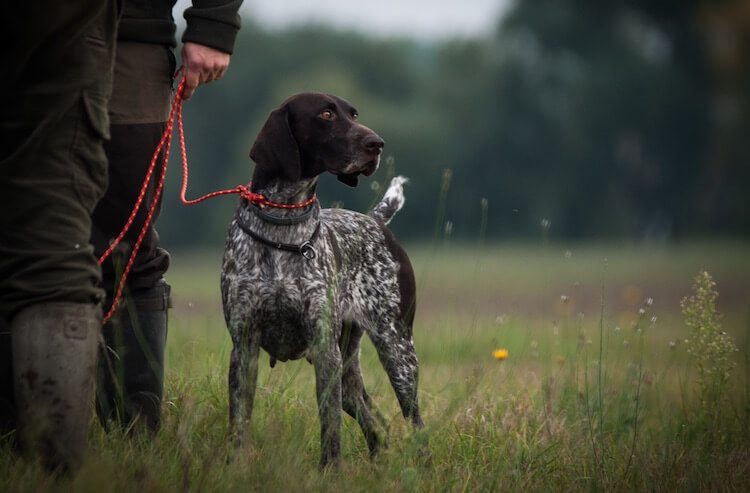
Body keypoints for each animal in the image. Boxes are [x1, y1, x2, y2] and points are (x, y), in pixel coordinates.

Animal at [222, 92, 424, 466]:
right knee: (376, 424)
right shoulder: (244, 346)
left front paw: (330, 469)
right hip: (349, 370)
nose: (377, 144)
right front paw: (234, 467)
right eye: (326, 114)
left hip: (397, 351)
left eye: (354, 114)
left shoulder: (324, 348)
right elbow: (238, 421)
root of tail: (375, 220)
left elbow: (329, 426)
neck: (282, 225)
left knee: (415, 422)